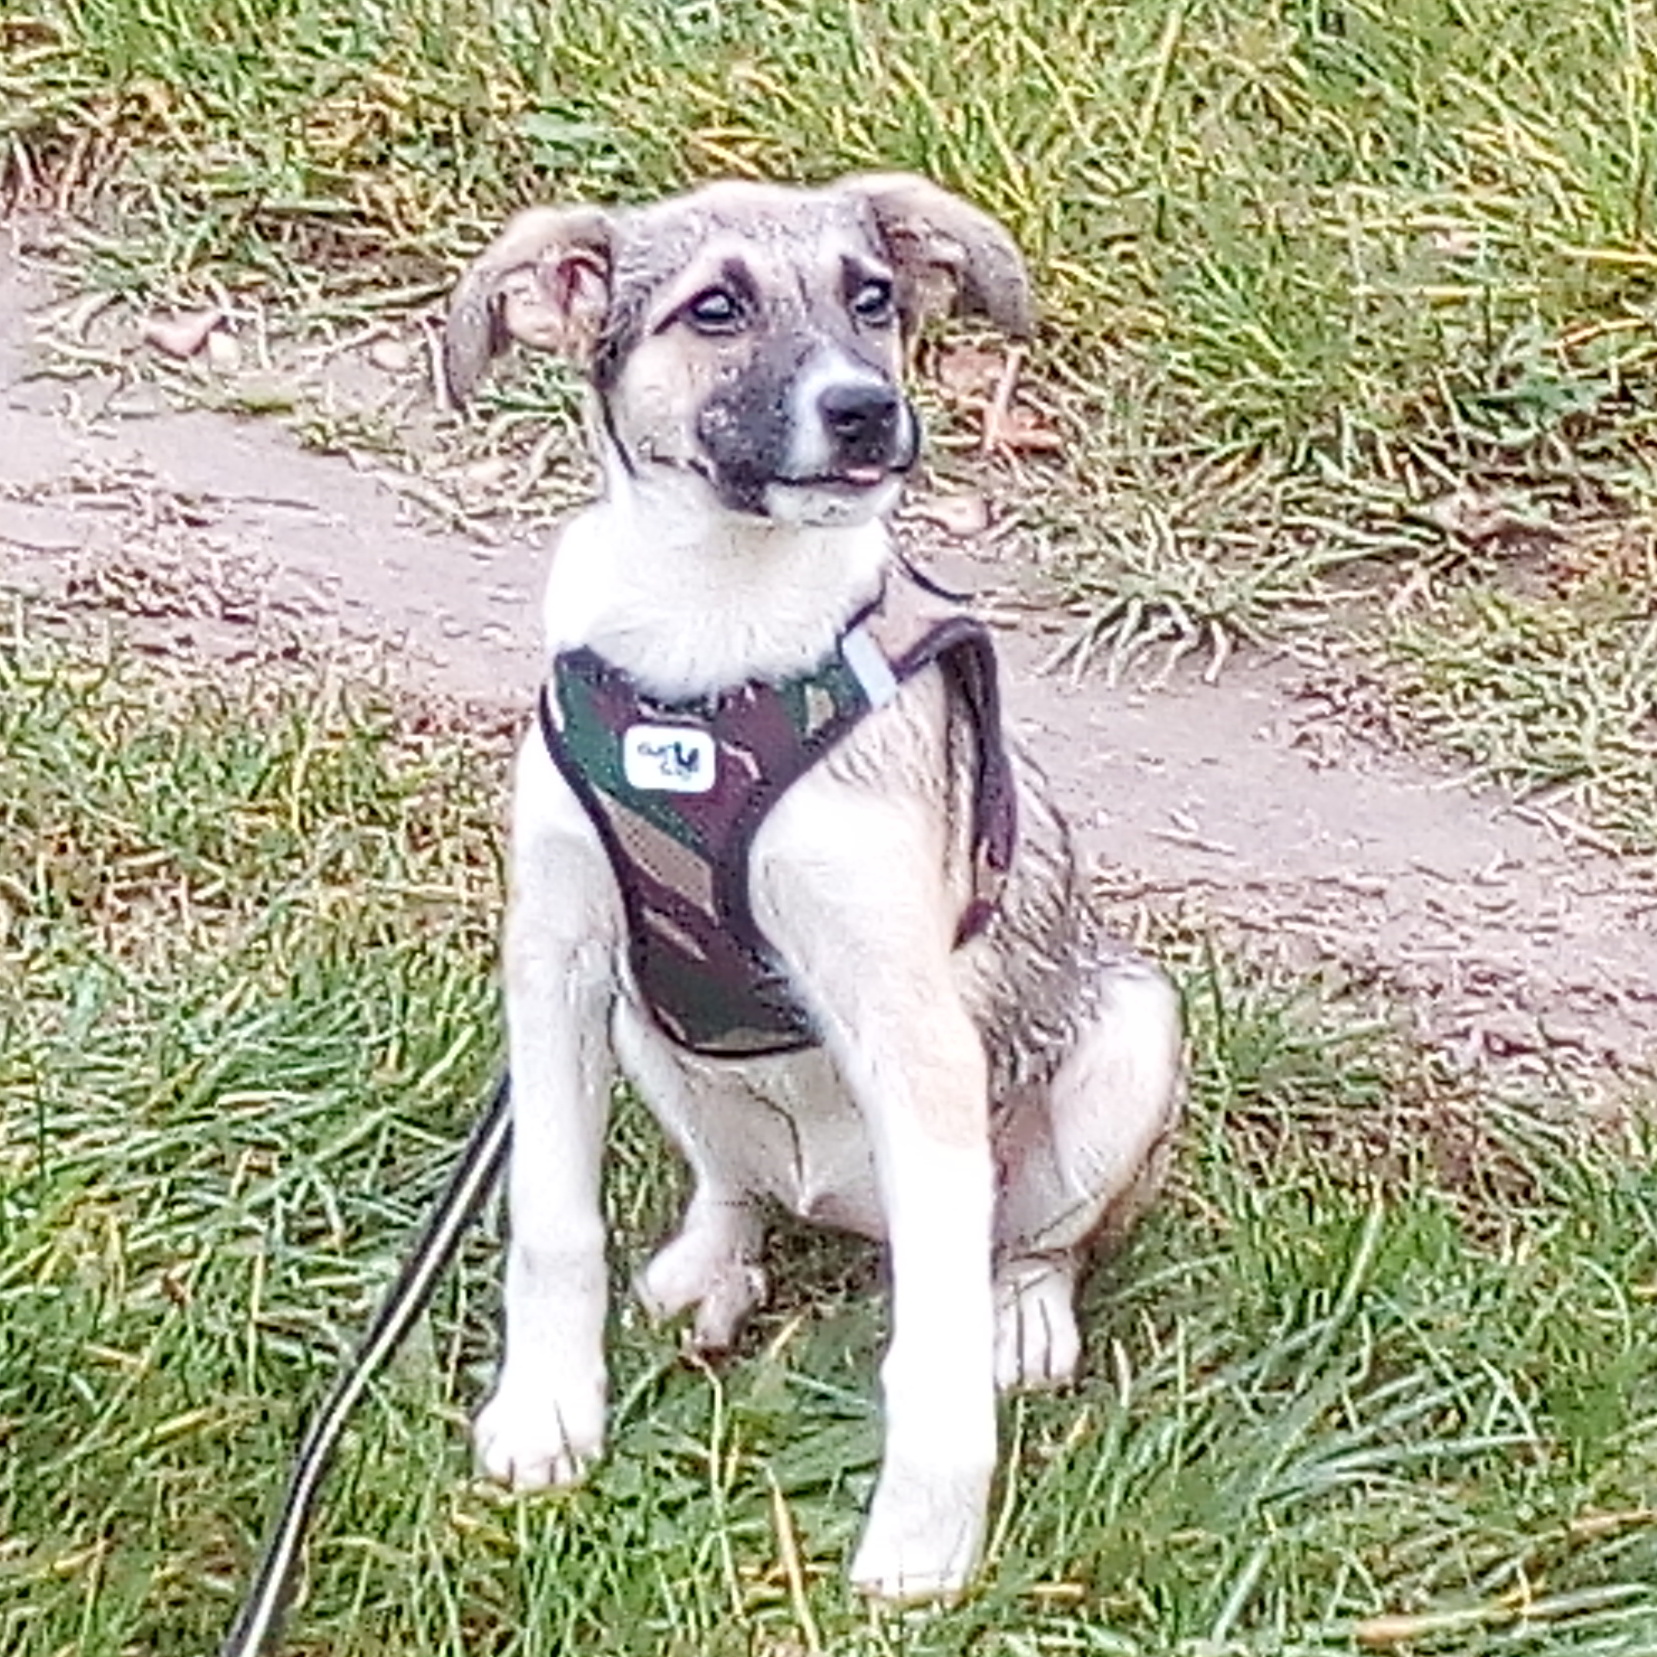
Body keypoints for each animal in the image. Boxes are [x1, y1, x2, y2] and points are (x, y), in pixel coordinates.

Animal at [442, 174, 1184, 1602]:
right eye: (712, 310)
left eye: (875, 299)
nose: (866, 412)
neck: (709, 641)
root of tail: (840, 1205)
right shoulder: (555, 963)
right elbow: (552, 1224)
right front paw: (547, 1413)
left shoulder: (910, 1024)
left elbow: (929, 1363)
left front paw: (922, 1547)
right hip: (650, 1026)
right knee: (735, 1186)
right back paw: (708, 1266)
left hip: (1132, 1037)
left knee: (1028, 1243)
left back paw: (1022, 1318)